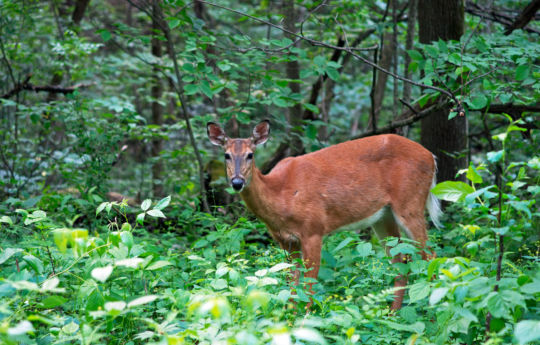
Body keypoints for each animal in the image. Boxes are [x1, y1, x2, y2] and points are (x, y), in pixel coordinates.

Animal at [205, 119, 440, 308]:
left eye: (250, 155)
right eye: (226, 155)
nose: (237, 182)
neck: (282, 196)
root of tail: (432, 157)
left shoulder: (313, 229)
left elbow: (309, 285)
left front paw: (306, 320)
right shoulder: (285, 240)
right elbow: (292, 284)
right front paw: (289, 317)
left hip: (410, 204)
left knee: (431, 256)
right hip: (384, 217)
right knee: (402, 261)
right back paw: (392, 315)